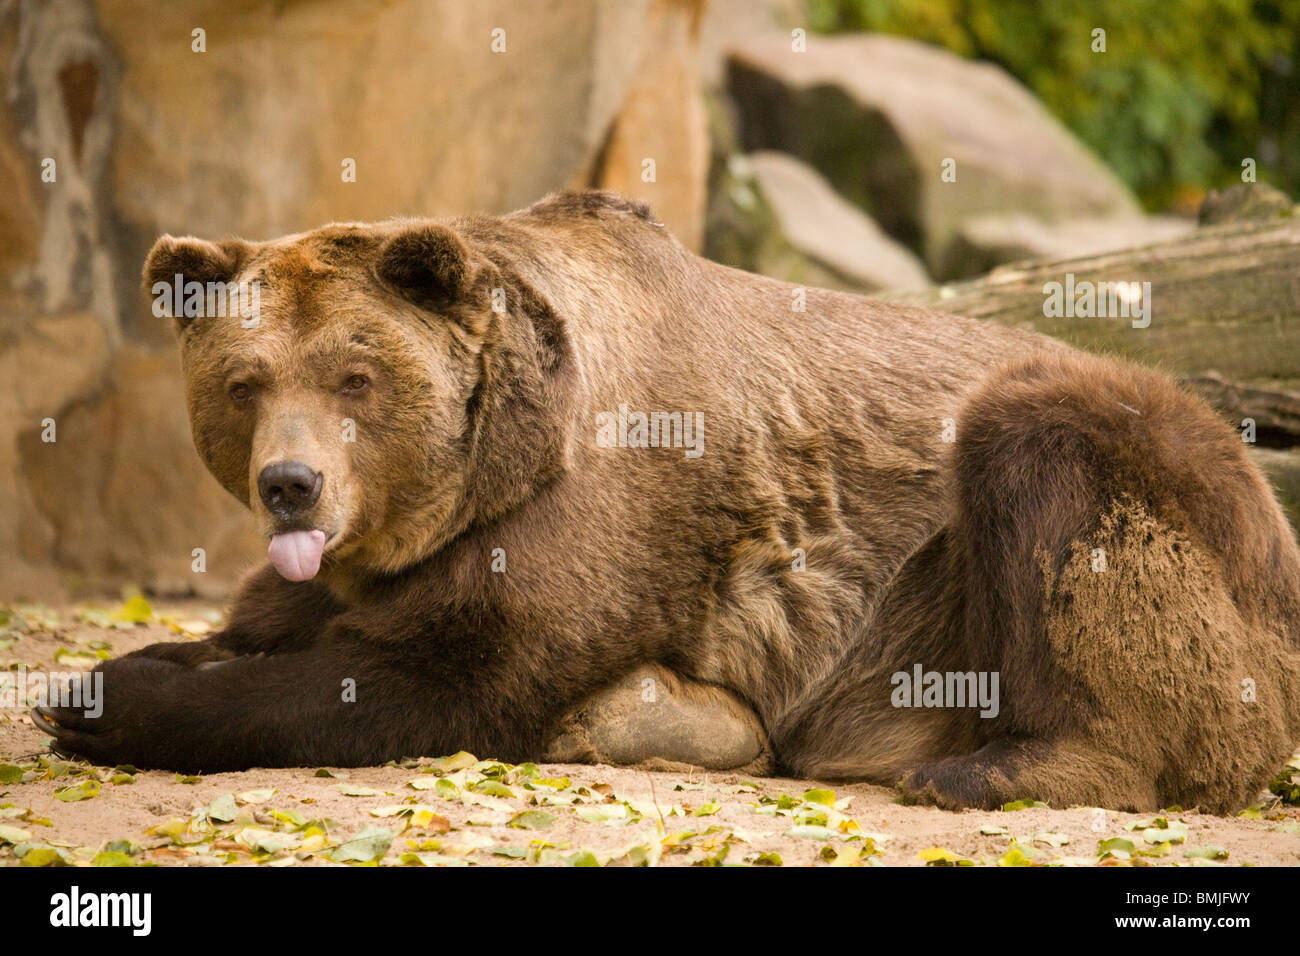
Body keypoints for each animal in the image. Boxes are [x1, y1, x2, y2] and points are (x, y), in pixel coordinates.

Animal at [35, 189, 1300, 813]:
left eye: (356, 376)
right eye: (244, 381)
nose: (291, 484)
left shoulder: (589, 521)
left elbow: (422, 675)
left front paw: (108, 698)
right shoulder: (377, 557)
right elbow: (275, 623)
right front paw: (138, 662)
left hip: (1126, 511)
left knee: (1045, 462)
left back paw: (991, 767)